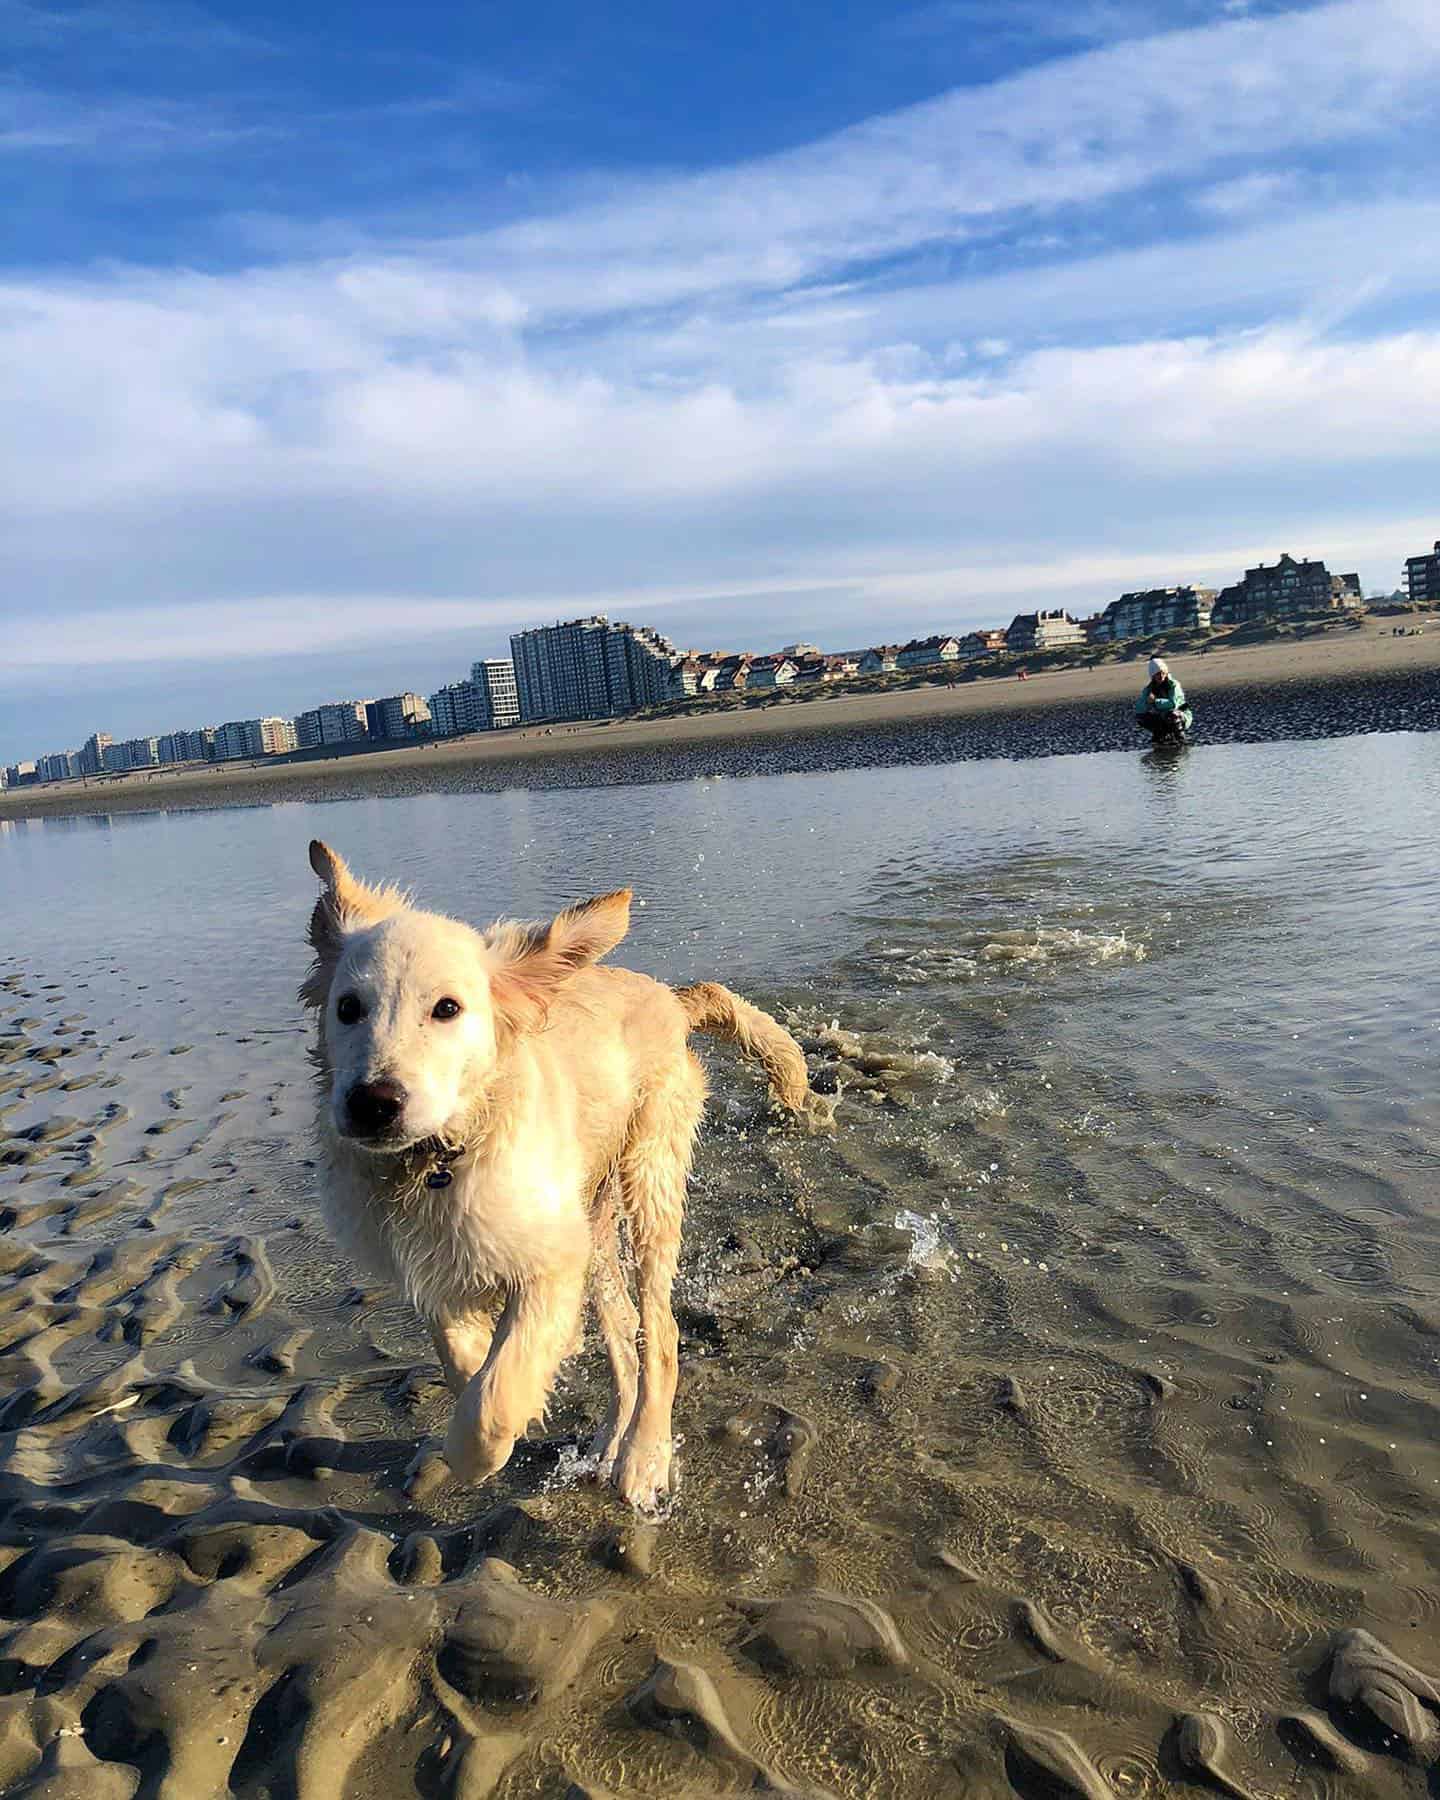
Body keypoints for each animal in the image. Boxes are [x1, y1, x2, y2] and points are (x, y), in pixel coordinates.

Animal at [300, 838, 820, 1504]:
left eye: (447, 1009)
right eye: (347, 1008)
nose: (372, 1103)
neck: (438, 1159)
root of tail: (669, 997)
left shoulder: (550, 1259)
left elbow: (494, 1398)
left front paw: (472, 1454)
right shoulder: (431, 1263)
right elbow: (462, 1357)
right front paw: (494, 1373)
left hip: (646, 1177)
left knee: (660, 1332)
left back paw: (644, 1457)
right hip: (594, 1225)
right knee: (625, 1333)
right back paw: (611, 1439)